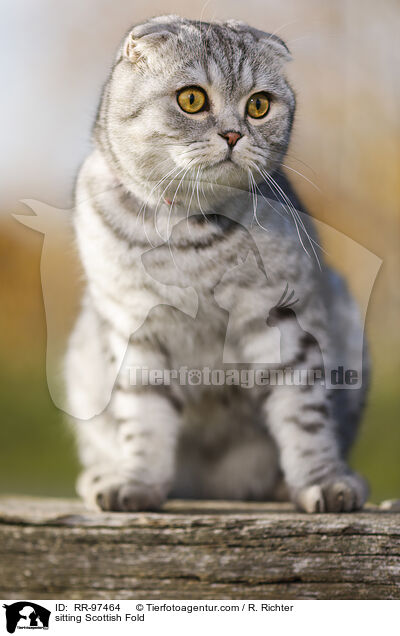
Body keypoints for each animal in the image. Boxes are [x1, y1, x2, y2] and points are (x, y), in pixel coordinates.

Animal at [65, 14, 368, 512]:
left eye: (259, 105)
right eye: (192, 99)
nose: (232, 134)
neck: (189, 236)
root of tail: (210, 489)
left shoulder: (282, 321)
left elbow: (304, 418)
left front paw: (323, 482)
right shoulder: (134, 331)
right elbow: (143, 420)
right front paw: (137, 483)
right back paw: (101, 477)